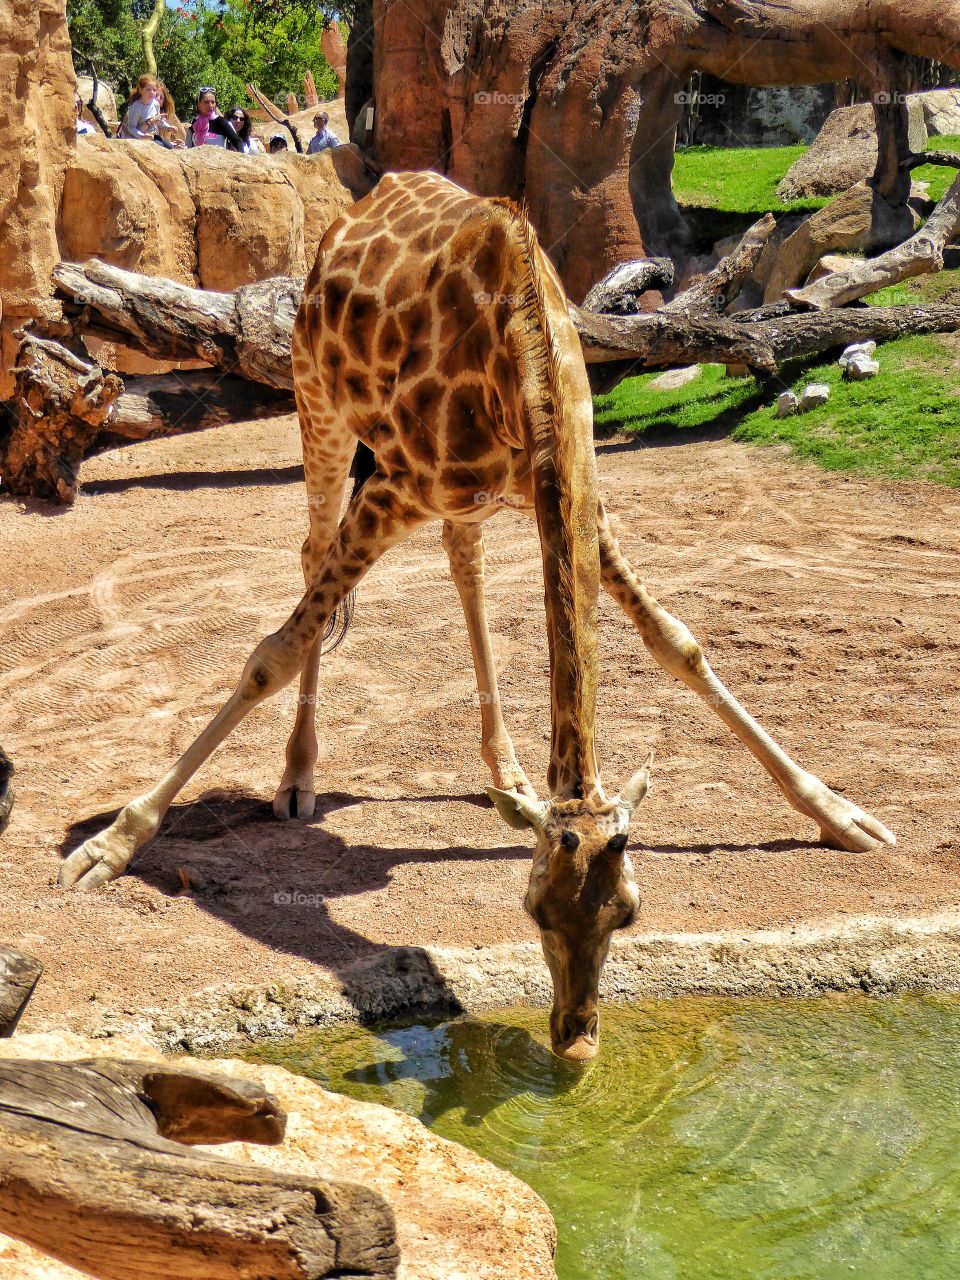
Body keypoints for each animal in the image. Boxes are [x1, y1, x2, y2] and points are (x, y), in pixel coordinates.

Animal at [62, 175, 896, 1064]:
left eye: (629, 911)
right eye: (532, 910)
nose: (577, 1038)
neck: (525, 355)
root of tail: (357, 208)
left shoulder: (570, 495)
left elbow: (678, 643)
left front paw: (840, 814)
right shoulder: (394, 485)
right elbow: (272, 654)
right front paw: (108, 847)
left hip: (459, 496)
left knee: (464, 568)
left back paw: (507, 771)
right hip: (319, 405)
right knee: (313, 558)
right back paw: (297, 780)